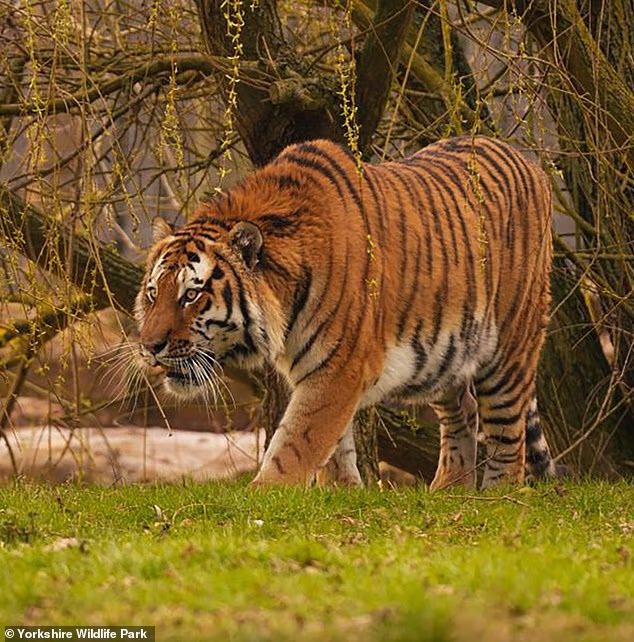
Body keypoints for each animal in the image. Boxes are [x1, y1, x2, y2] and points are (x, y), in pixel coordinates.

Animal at [135, 135, 556, 489]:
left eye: (191, 295)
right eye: (154, 294)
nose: (150, 347)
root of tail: (530, 162)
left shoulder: (340, 368)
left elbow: (298, 441)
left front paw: (264, 494)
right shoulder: (322, 370)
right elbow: (334, 445)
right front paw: (343, 492)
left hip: (509, 347)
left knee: (508, 430)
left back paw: (498, 495)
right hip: (446, 355)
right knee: (464, 410)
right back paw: (447, 490)